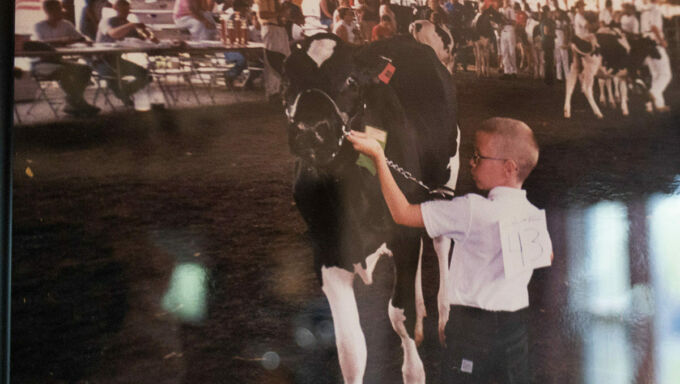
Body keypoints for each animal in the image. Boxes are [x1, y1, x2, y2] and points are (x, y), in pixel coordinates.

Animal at [278, 33, 460, 384]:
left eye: (351, 79)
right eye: (287, 84)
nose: (310, 131)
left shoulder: (403, 237)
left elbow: (399, 314)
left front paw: (414, 370)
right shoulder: (326, 254)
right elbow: (350, 347)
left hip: (446, 177)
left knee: (441, 242)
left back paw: (445, 318)